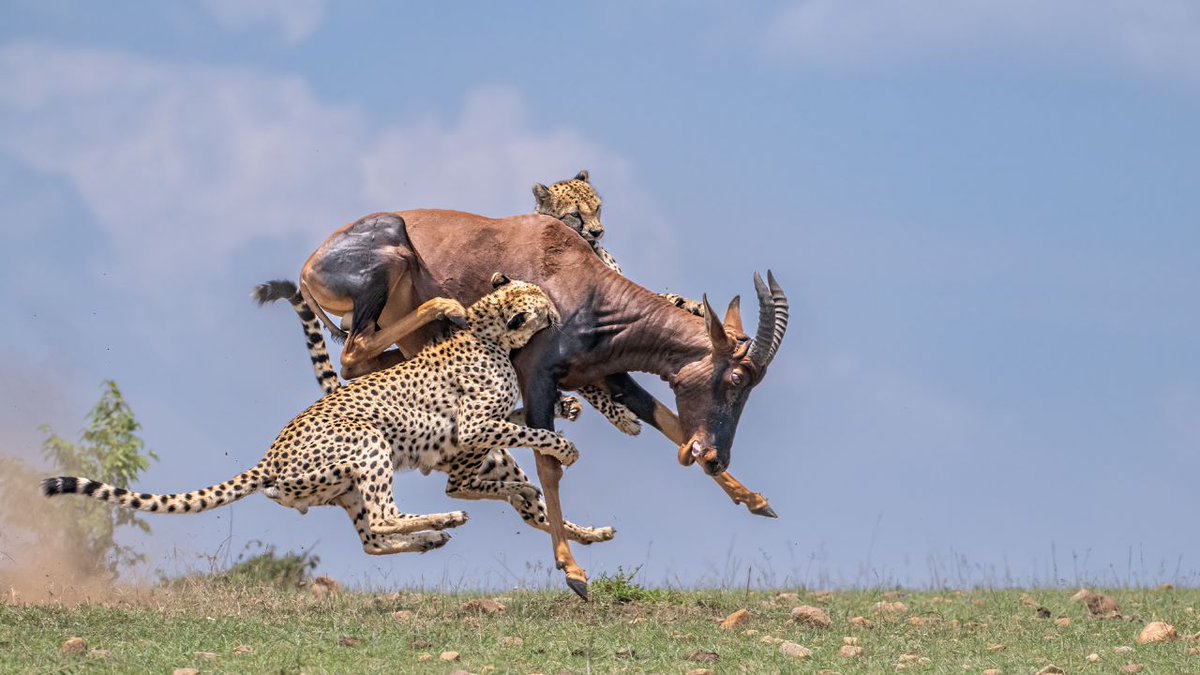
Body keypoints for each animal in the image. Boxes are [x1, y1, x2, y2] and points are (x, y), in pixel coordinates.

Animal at [42, 275, 614, 557]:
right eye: (539, 303)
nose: (557, 310)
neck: (486, 330)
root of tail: (269, 458)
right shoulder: (473, 428)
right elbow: (526, 429)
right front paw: (564, 445)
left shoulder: (483, 428)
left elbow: (520, 419)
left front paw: (568, 407)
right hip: (368, 444)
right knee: (388, 517)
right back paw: (444, 521)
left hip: (345, 488)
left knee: (373, 537)